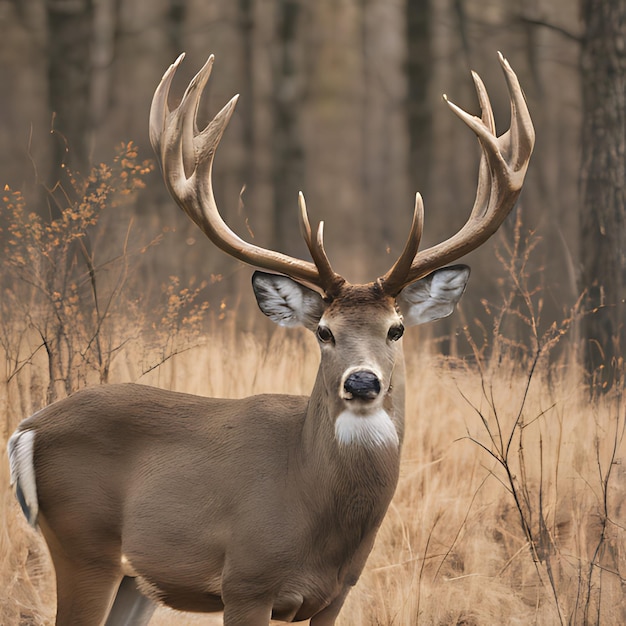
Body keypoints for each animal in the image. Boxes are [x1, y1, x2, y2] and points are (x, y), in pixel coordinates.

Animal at [6, 51, 532, 620]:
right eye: (323, 332)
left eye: (396, 329)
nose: (362, 382)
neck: (309, 504)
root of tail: (27, 429)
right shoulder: (246, 581)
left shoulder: (337, 594)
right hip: (84, 543)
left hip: (135, 580)